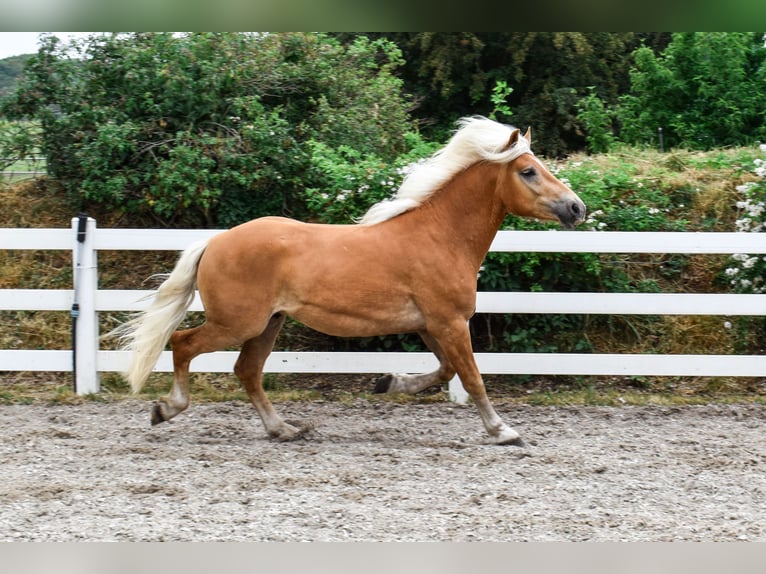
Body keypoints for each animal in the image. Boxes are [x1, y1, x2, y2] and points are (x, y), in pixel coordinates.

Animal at [117, 117, 588, 448]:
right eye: (528, 171)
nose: (577, 208)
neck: (440, 236)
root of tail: (215, 241)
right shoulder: (450, 322)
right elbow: (472, 377)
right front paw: (504, 431)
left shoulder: (431, 325)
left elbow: (446, 370)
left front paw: (388, 383)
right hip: (238, 322)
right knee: (183, 343)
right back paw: (167, 409)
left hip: (268, 324)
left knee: (247, 371)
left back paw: (284, 429)